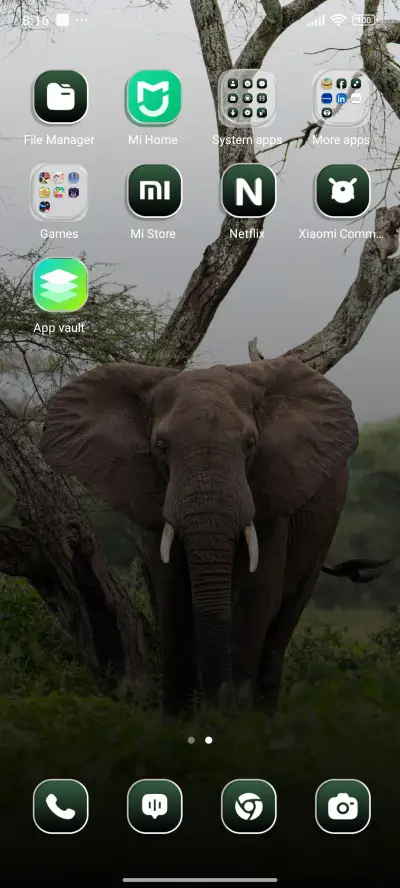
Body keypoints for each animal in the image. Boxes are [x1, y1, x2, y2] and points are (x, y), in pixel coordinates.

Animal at [40, 356, 372, 716]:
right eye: (161, 447)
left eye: (250, 445)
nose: (215, 704)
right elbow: (171, 593)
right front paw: (180, 722)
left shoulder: (273, 495)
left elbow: (256, 595)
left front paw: (233, 722)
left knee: (284, 622)